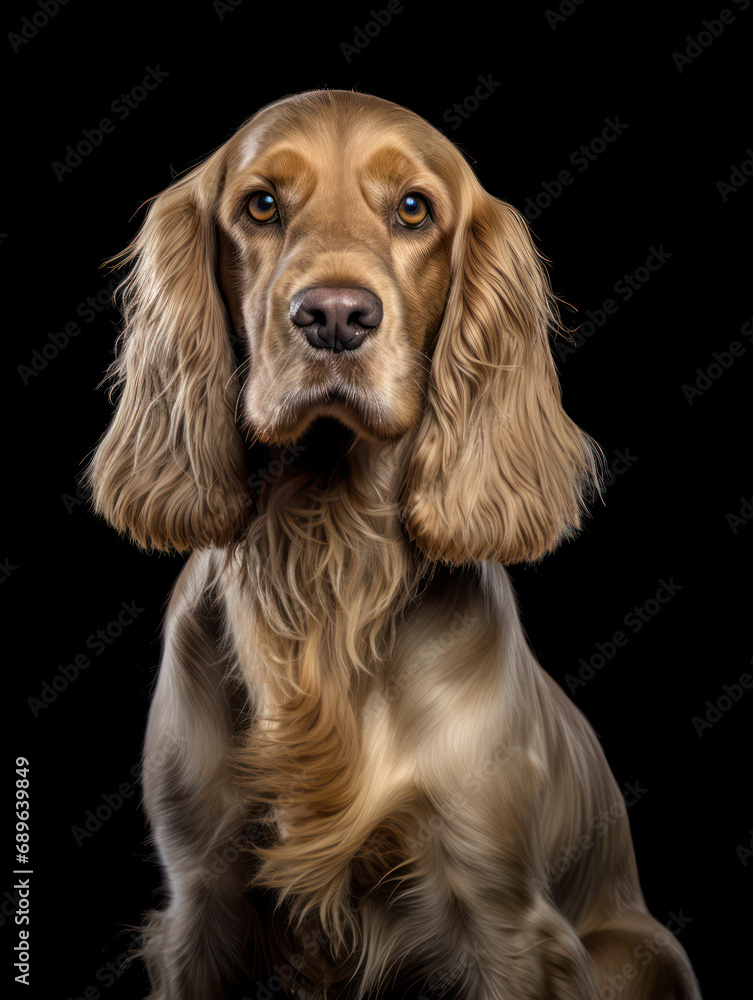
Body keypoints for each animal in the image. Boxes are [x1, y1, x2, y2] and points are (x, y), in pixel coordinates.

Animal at [88, 90, 700, 996]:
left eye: (413, 209)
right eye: (260, 205)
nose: (335, 316)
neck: (326, 553)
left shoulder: (501, 918)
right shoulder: (202, 900)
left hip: (637, 951)